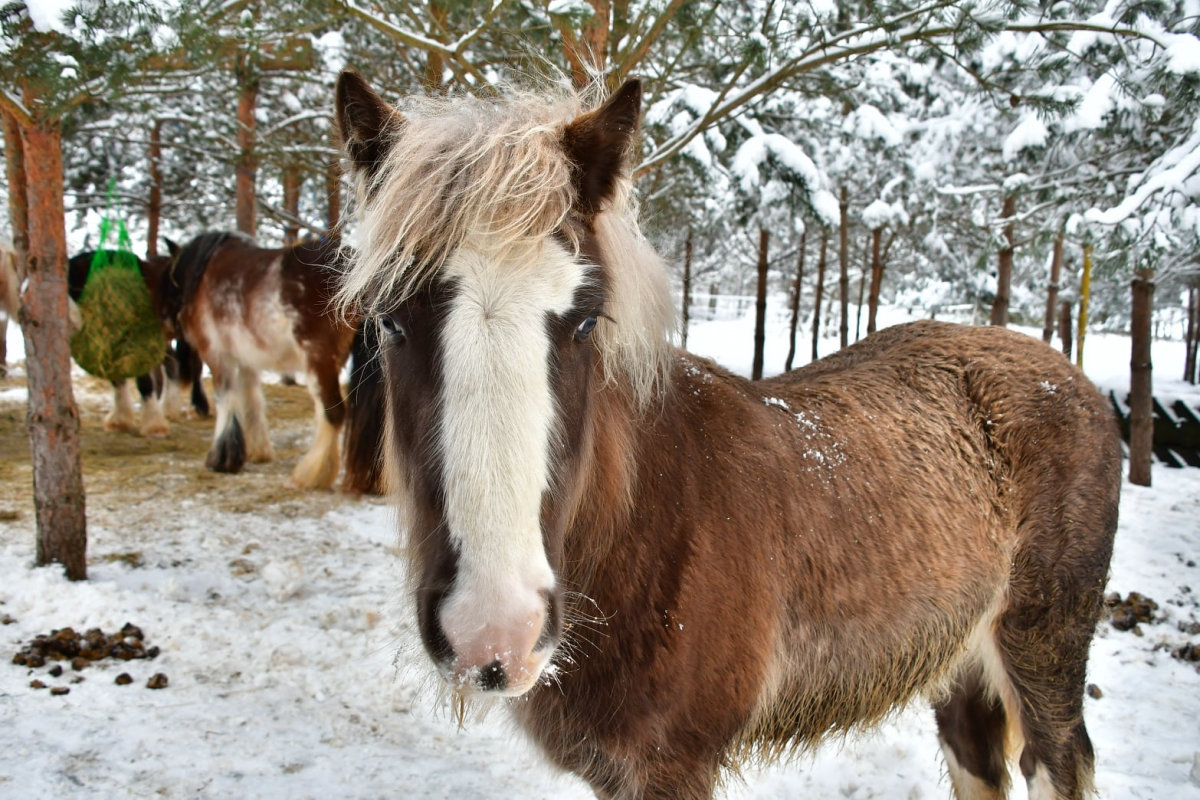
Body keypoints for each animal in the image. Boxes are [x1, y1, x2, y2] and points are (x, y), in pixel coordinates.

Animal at [66, 250, 207, 438]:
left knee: (195, 365)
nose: (73, 321)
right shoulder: (113, 347)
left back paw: (198, 407)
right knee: (173, 362)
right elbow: (118, 381)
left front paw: (154, 425)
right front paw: (120, 420)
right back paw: (169, 407)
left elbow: (144, 383)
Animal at [336, 70, 1123, 800]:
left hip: (1043, 650)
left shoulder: (676, 767)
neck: (645, 526)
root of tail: (1068, 374)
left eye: (586, 320)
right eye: (389, 319)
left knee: (1056, 760)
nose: (493, 630)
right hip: (960, 662)